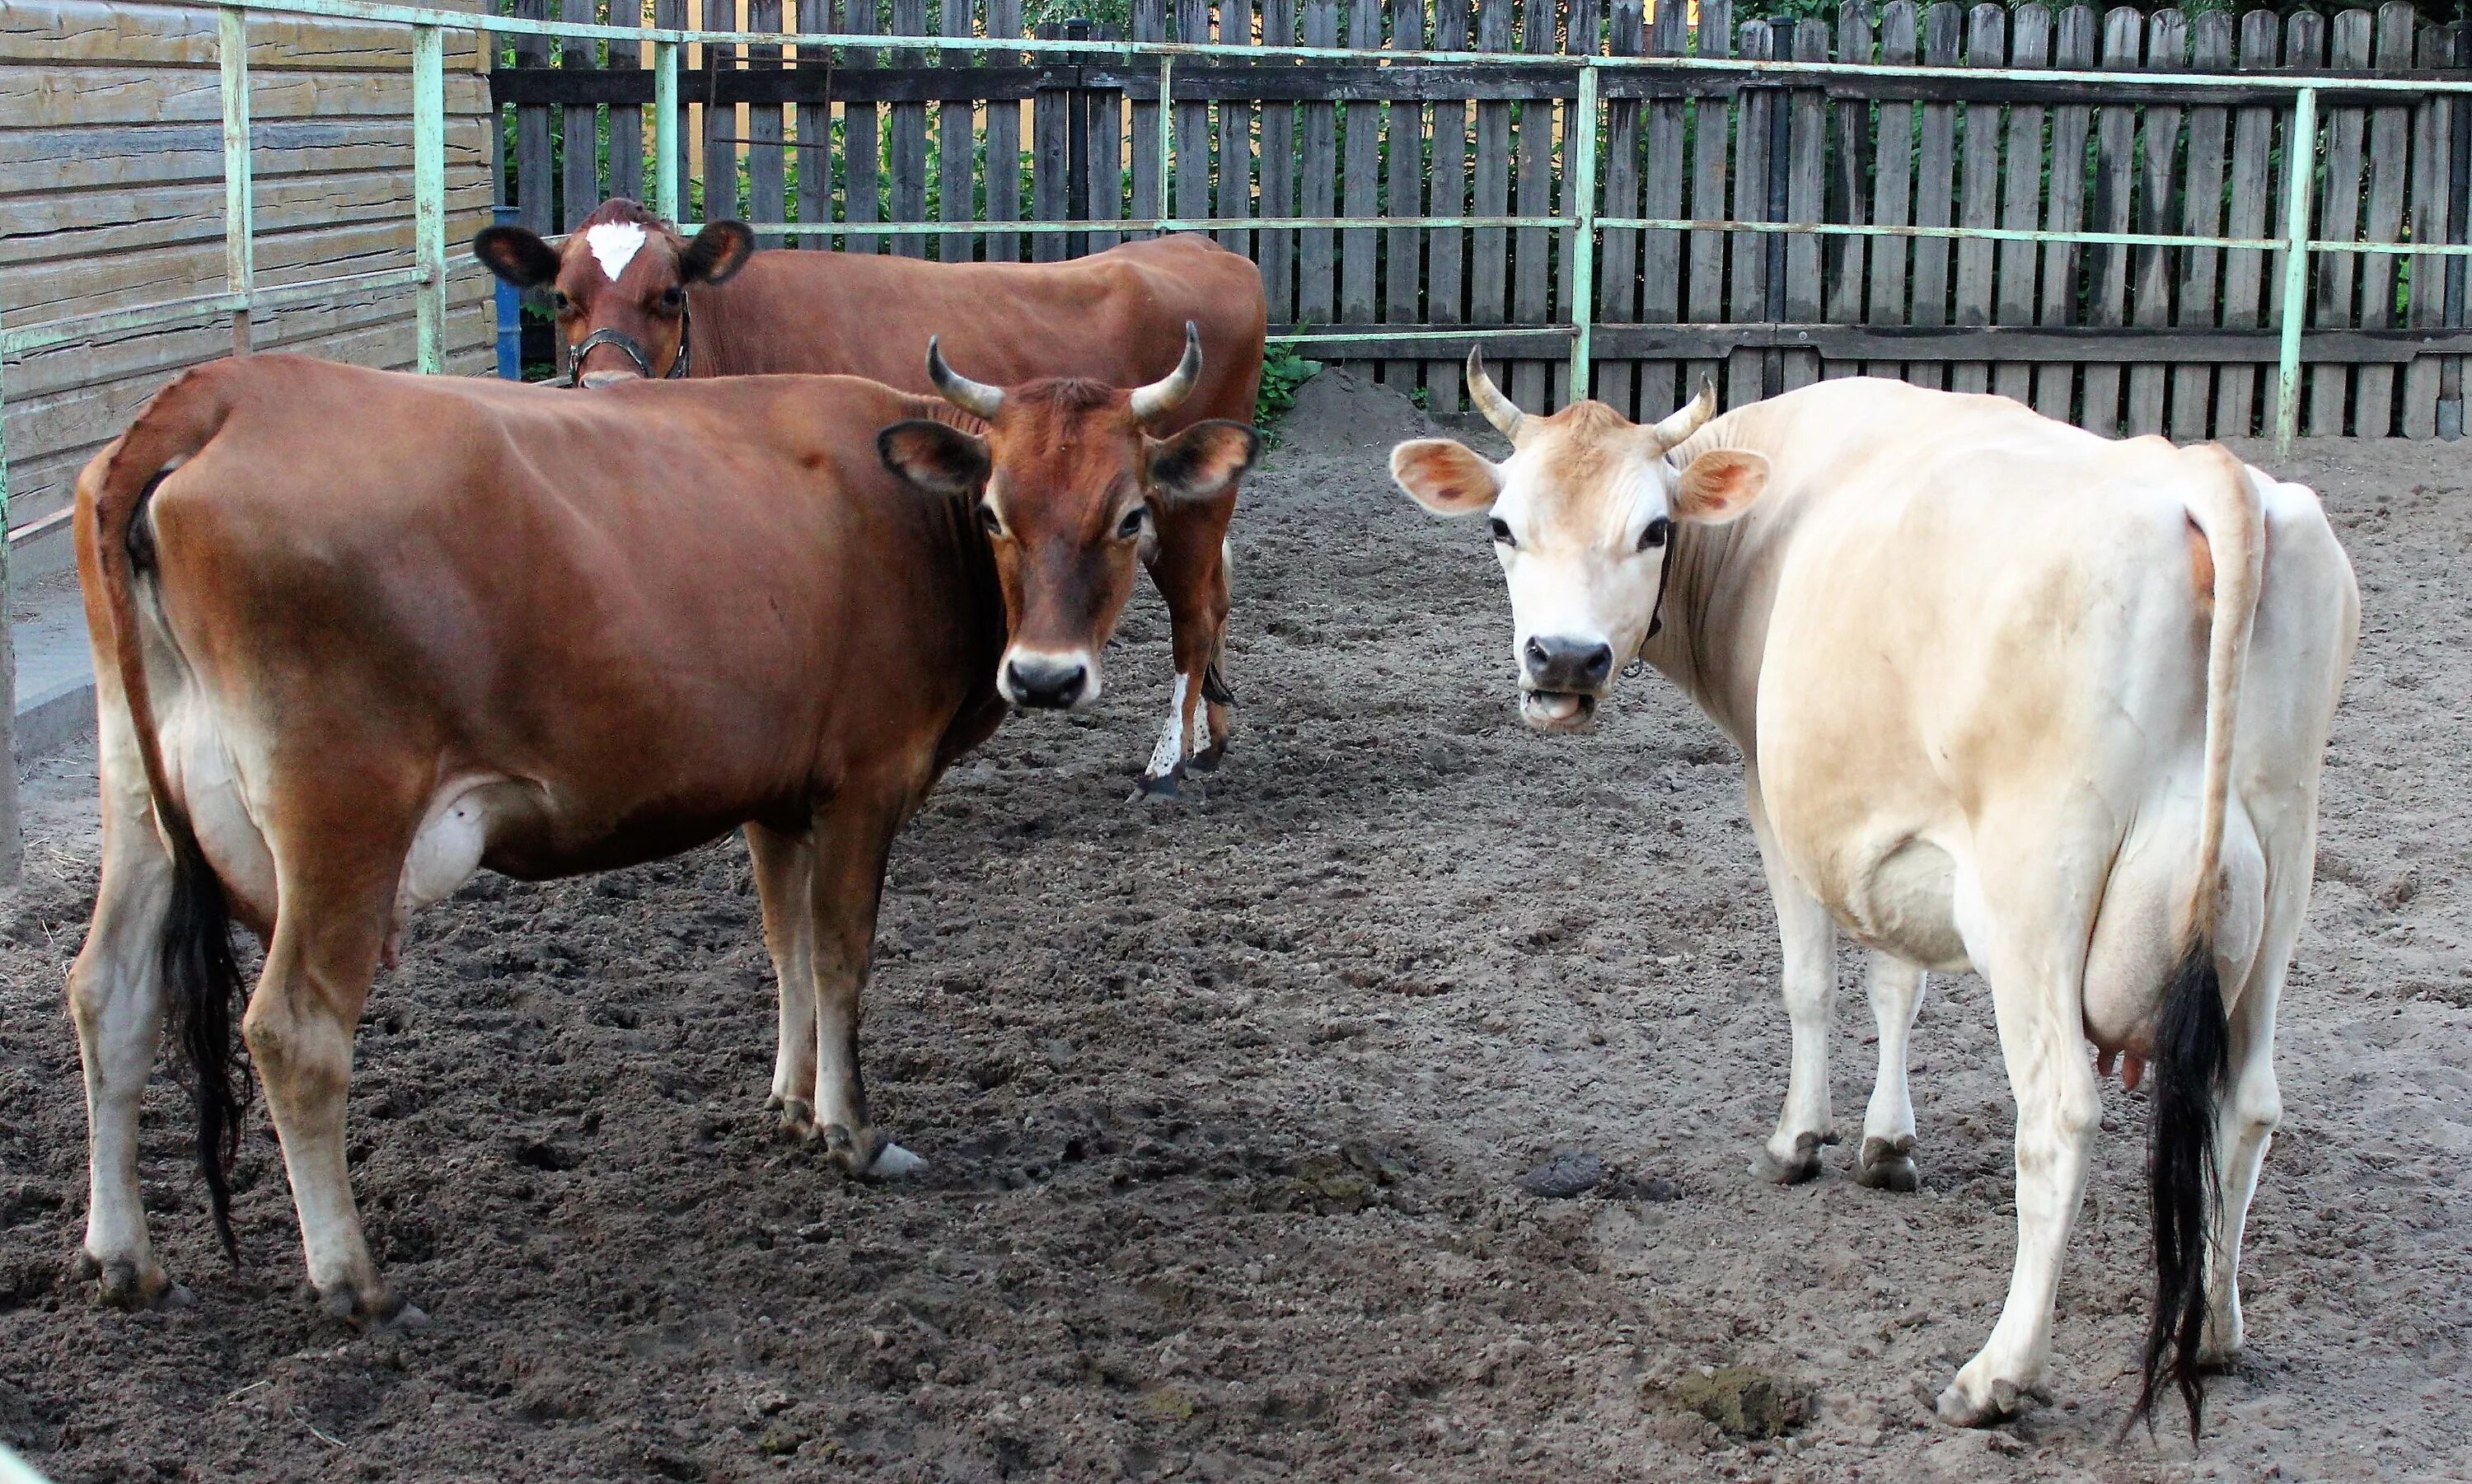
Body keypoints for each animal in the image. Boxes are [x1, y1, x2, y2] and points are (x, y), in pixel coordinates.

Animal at [63, 353, 1256, 1325]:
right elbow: (839, 955)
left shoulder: (778, 794)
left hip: (134, 791)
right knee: (295, 1030)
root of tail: (222, 392)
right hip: (342, 816)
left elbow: (784, 950)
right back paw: (353, 1281)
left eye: (1130, 516)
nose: (1045, 676)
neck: (916, 522)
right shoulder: (864, 782)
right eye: (1000, 513)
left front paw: (789, 1104)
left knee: (107, 991)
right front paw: (854, 1133)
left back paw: (126, 1258)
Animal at [475, 205, 1276, 801]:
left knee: (1194, 614)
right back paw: (1210, 739)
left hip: (1188, 509)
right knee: (1217, 598)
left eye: (670, 293)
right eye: (562, 297)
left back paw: (1167, 764)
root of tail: (1203, 246)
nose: (608, 386)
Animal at [1394, 353, 2353, 1434]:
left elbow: (1809, 982)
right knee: (2249, 1102)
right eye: (1502, 526)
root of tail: (2201, 472)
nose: (1563, 658)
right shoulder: (1897, 825)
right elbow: (1899, 981)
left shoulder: (1778, 795)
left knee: (2060, 1115)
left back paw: (1997, 1372)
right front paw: (1888, 1142)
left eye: (1653, 530)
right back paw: (2221, 1328)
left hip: (2036, 896)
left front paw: (1798, 1139)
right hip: (2279, 876)